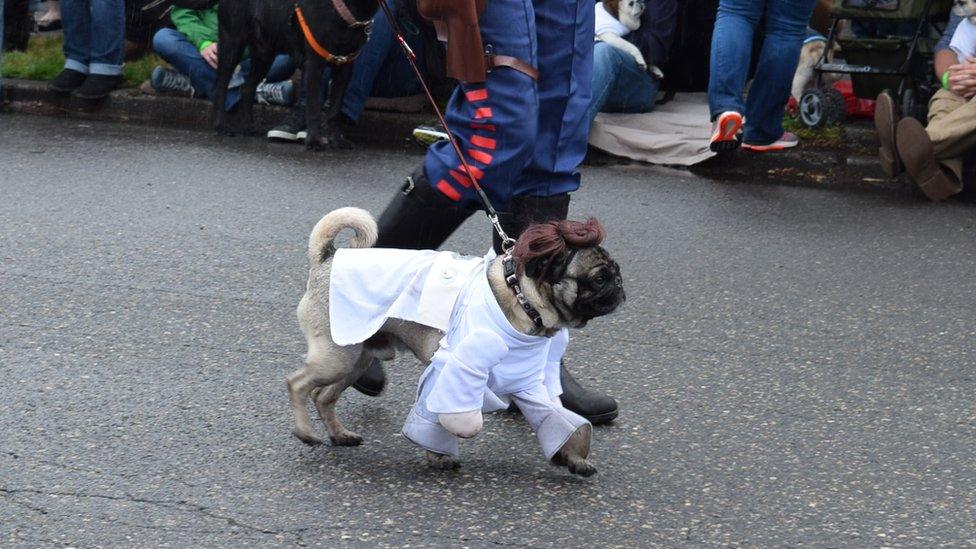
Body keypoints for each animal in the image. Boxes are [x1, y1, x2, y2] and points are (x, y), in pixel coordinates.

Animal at [212, 0, 376, 148]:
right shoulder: (314, 64)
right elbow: (314, 105)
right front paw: (314, 141)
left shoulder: (345, 66)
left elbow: (335, 108)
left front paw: (337, 140)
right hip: (232, 43)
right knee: (220, 85)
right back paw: (221, 126)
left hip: (264, 55)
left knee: (247, 88)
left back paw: (248, 127)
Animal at [290, 208, 624, 474]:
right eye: (598, 278)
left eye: (616, 272)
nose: (619, 285)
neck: (521, 297)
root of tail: (328, 257)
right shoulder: (448, 373)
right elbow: (436, 420)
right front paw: (438, 456)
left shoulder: (529, 382)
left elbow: (562, 422)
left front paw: (573, 458)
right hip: (336, 358)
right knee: (297, 384)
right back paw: (305, 432)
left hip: (356, 360)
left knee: (323, 397)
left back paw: (339, 435)